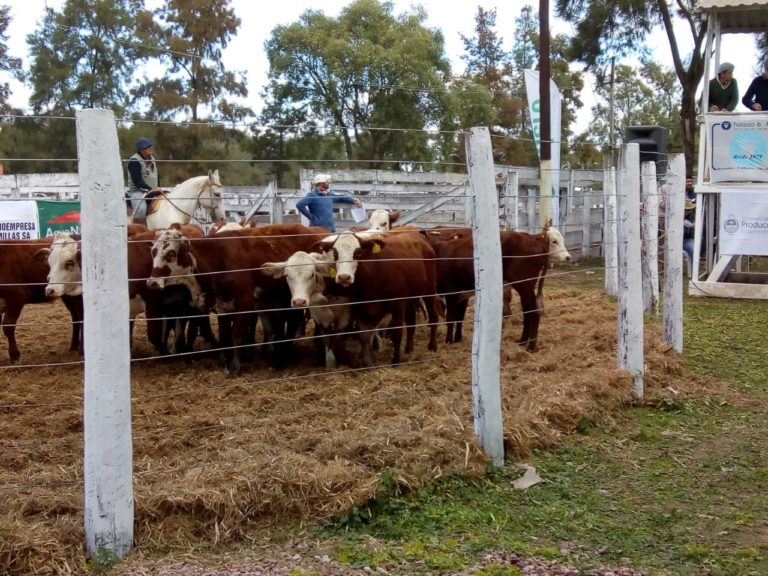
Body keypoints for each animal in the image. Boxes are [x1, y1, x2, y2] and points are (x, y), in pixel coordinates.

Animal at [314, 228, 438, 364]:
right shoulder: (360, 307)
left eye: (358, 251)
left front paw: (396, 360)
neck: (373, 273)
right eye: (335, 252)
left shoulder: (398, 305)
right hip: (411, 297)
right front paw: (367, 362)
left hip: (430, 291)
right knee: (411, 320)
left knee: (433, 317)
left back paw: (432, 346)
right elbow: (364, 336)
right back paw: (409, 349)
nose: (344, 277)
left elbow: (397, 332)